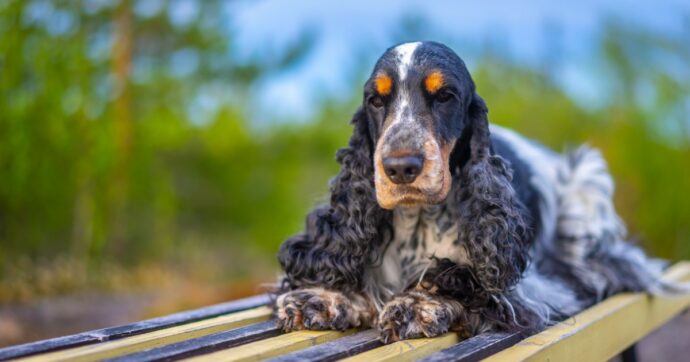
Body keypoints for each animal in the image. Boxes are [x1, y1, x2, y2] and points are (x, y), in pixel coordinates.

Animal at [272, 40, 672, 342]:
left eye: (445, 95)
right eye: (376, 100)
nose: (400, 167)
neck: (419, 220)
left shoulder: (525, 291)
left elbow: (462, 282)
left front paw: (417, 304)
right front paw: (323, 297)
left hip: (587, 183)